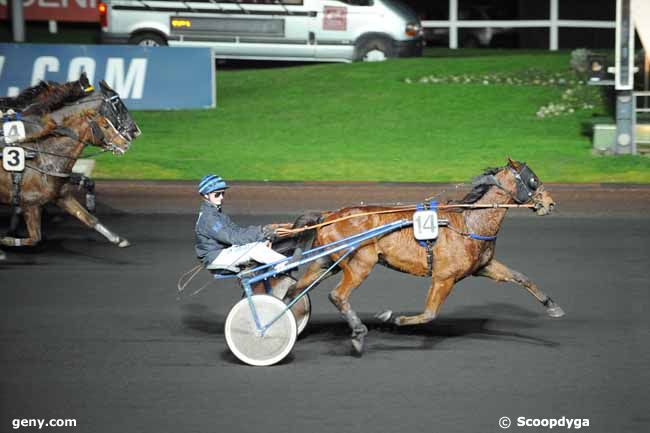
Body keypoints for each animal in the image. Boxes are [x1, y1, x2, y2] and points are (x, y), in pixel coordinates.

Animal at [0, 104, 133, 248]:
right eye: (106, 125)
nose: (125, 144)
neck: (46, 161)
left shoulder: (62, 196)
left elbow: (89, 218)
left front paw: (118, 239)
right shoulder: (30, 204)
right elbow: (35, 238)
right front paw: (6, 239)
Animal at [288, 159, 560, 354]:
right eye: (533, 179)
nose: (551, 203)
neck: (469, 222)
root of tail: (329, 215)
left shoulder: (484, 266)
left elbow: (520, 277)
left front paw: (552, 306)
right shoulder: (443, 277)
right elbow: (429, 313)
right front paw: (391, 318)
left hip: (325, 262)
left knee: (294, 290)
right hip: (360, 263)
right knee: (338, 295)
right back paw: (358, 333)